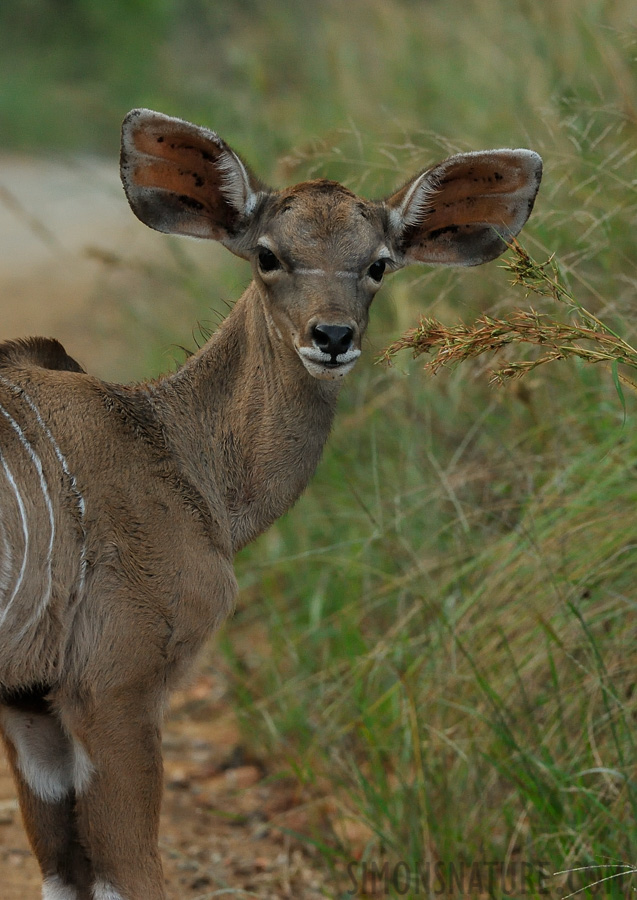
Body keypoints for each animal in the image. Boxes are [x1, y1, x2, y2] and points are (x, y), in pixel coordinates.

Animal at [0, 109, 540, 896]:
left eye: (378, 264)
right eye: (267, 255)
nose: (333, 336)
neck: (172, 449)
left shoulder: (32, 700)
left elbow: (66, 872)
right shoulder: (114, 684)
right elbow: (131, 873)